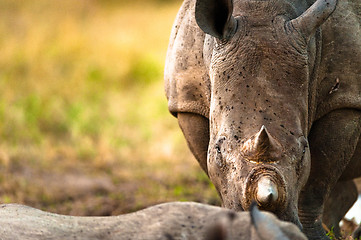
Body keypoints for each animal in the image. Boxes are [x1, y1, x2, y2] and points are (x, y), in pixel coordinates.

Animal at [165, 0, 360, 239]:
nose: (266, 217)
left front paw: (312, 236)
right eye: (218, 150)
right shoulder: (187, 102)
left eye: (303, 151)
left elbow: (318, 179)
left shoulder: (346, 98)